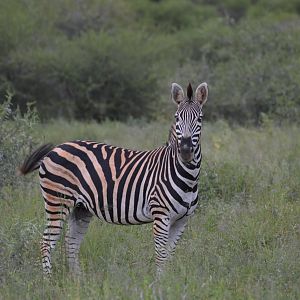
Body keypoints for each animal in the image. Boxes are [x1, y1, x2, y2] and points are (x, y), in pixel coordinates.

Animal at [19, 81, 207, 274]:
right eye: (177, 118)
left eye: (200, 119)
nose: (185, 151)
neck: (188, 178)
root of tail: (56, 148)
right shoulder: (161, 216)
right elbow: (161, 256)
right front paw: (159, 282)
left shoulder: (181, 221)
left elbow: (169, 256)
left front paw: (169, 280)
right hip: (57, 201)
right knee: (46, 243)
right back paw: (48, 279)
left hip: (80, 209)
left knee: (71, 244)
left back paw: (77, 280)